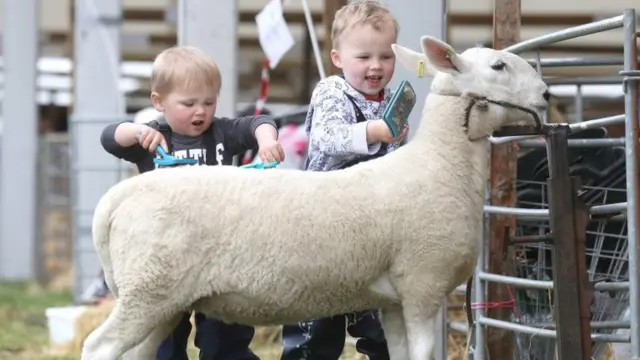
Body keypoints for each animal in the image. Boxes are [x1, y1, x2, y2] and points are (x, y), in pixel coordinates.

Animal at [81, 37, 552, 360]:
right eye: (498, 65)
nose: (547, 94)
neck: (440, 165)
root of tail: (118, 197)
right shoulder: (423, 283)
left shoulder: (396, 299)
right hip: (148, 290)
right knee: (98, 347)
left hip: (159, 299)